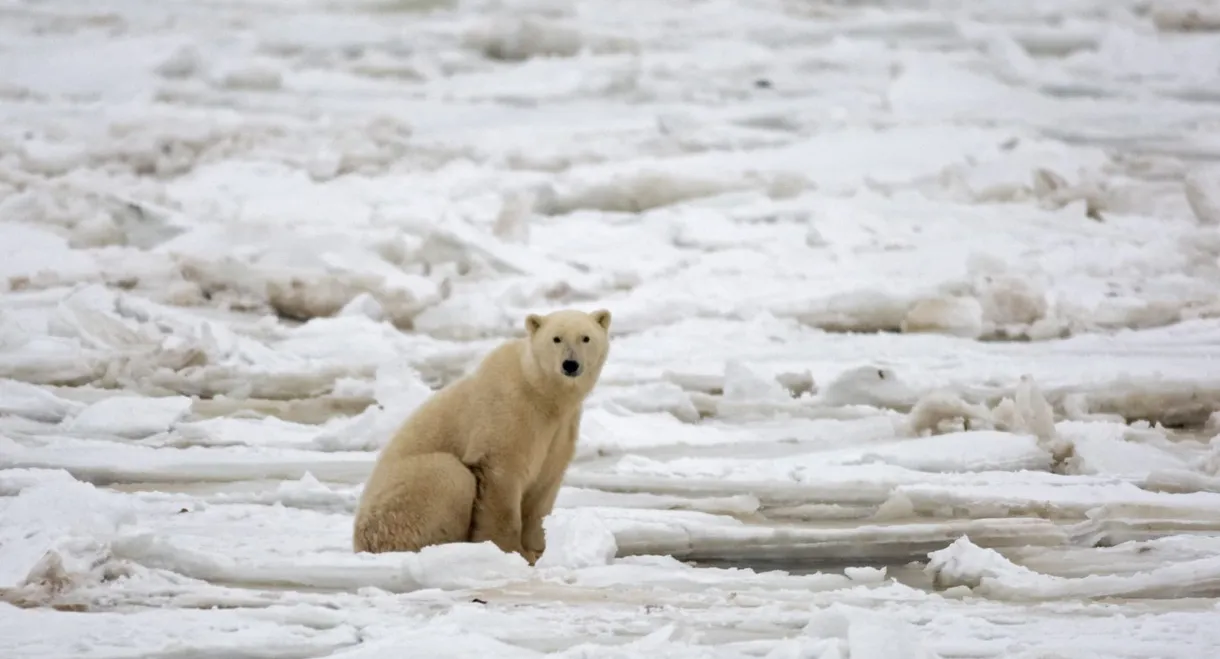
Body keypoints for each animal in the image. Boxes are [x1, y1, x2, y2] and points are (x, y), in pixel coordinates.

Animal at [356, 306, 614, 563]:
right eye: (556, 338)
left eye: (585, 337)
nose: (570, 364)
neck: (541, 393)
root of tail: (360, 543)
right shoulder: (508, 413)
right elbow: (500, 480)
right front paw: (511, 551)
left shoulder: (560, 429)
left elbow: (545, 483)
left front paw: (538, 549)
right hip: (399, 501)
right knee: (449, 474)